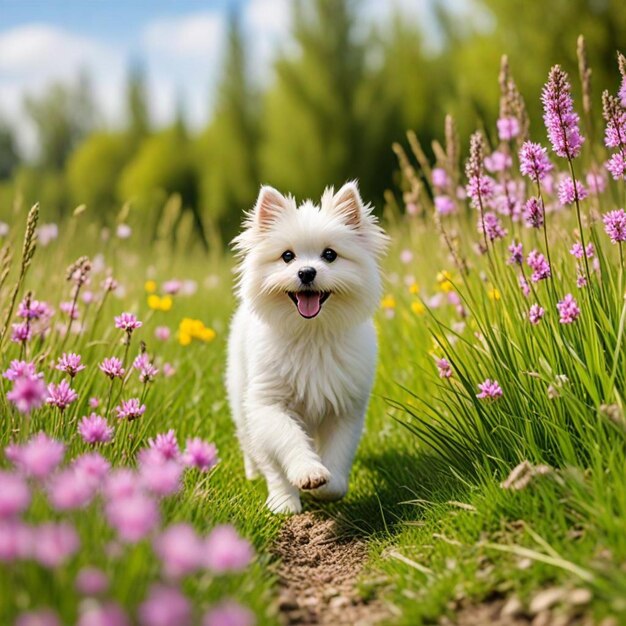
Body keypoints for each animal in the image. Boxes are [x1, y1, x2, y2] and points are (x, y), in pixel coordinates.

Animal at [227, 180, 388, 512]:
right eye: (287, 256)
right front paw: (308, 474)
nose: (306, 272)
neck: (311, 334)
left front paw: (328, 487)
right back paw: (280, 499)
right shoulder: (268, 403)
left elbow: (338, 455)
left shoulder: (345, 408)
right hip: (241, 398)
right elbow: (287, 440)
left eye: (330, 255)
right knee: (260, 454)